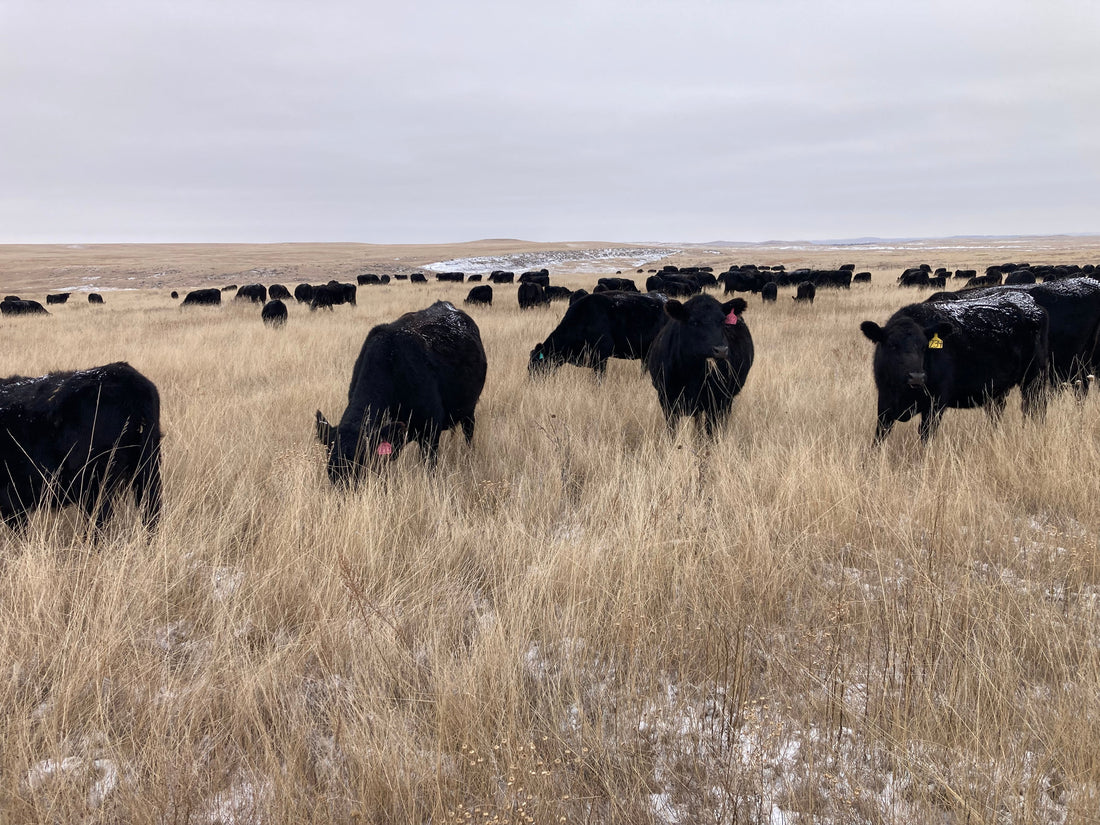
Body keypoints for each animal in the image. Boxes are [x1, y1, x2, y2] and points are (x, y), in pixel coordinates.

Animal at [314, 301, 486, 484]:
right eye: (331, 470)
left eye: (361, 463)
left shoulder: (430, 433)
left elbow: (430, 468)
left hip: (469, 409)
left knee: (469, 432)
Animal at [642, 294, 756, 440]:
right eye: (694, 322)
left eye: (723, 321)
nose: (721, 350)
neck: (692, 373)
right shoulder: (667, 400)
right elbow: (672, 430)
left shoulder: (716, 402)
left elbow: (710, 432)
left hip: (727, 400)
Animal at [858, 290, 1047, 446]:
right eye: (892, 345)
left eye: (924, 347)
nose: (917, 377)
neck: (904, 393)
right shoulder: (884, 405)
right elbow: (879, 437)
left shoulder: (935, 405)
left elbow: (925, 438)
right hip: (997, 391)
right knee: (996, 414)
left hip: (1034, 380)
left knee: (1035, 410)